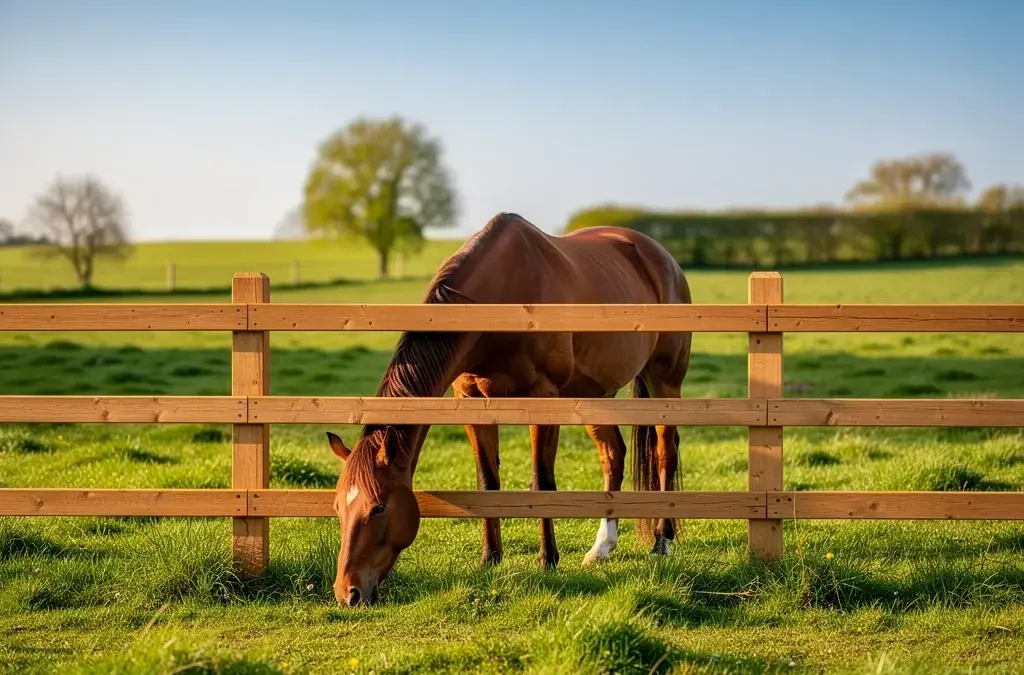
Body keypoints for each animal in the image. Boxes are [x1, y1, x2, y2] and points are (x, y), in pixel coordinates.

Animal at [325, 212, 692, 606]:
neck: (502, 296)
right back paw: (602, 547)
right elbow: (488, 481)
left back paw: (661, 540)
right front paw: (491, 558)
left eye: (379, 506)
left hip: (664, 381)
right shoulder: (471, 398)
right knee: (613, 454)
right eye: (338, 507)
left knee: (665, 451)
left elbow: (541, 481)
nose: (348, 592)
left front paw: (548, 560)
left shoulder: (544, 396)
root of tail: (663, 259)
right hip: (596, 396)